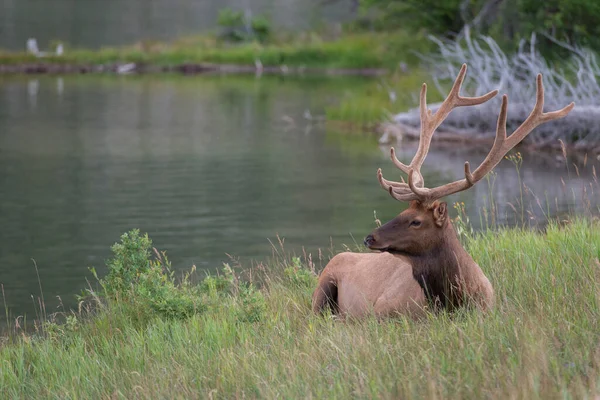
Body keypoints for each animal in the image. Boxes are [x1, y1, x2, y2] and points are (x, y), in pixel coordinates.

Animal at [312, 64, 576, 318]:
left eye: (416, 221)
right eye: (401, 213)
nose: (370, 238)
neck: (454, 300)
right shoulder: (381, 309)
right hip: (323, 283)